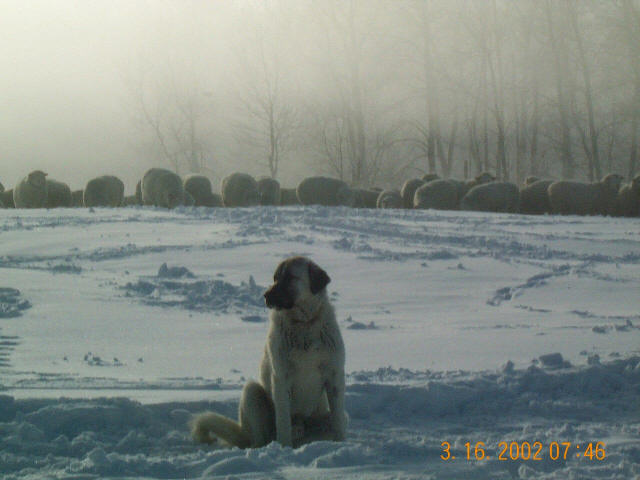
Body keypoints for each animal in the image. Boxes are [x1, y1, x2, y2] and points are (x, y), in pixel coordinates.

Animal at [191, 256, 344, 448]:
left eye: (290, 278)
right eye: (275, 278)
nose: (265, 295)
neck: (303, 324)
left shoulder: (334, 376)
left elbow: (338, 420)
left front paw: (342, 443)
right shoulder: (281, 379)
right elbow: (283, 422)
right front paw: (284, 447)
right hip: (253, 393)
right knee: (261, 439)